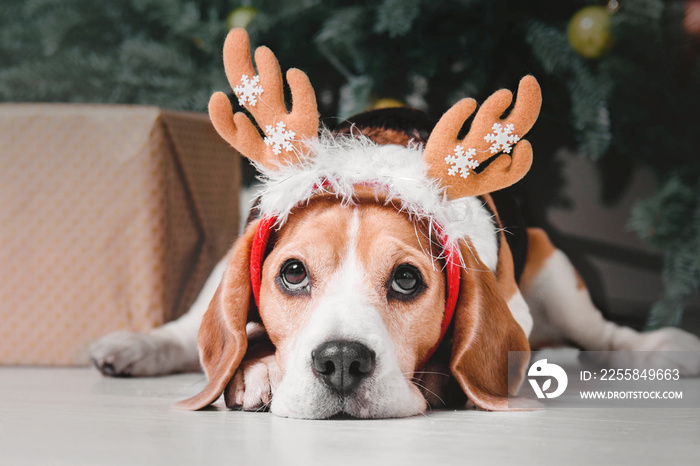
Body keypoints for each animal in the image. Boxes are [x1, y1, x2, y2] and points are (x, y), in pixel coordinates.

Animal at [90, 28, 700, 418]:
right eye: (292, 273)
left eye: (407, 280)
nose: (341, 361)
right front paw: (258, 369)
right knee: (185, 330)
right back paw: (137, 347)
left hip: (555, 270)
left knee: (607, 335)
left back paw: (662, 348)